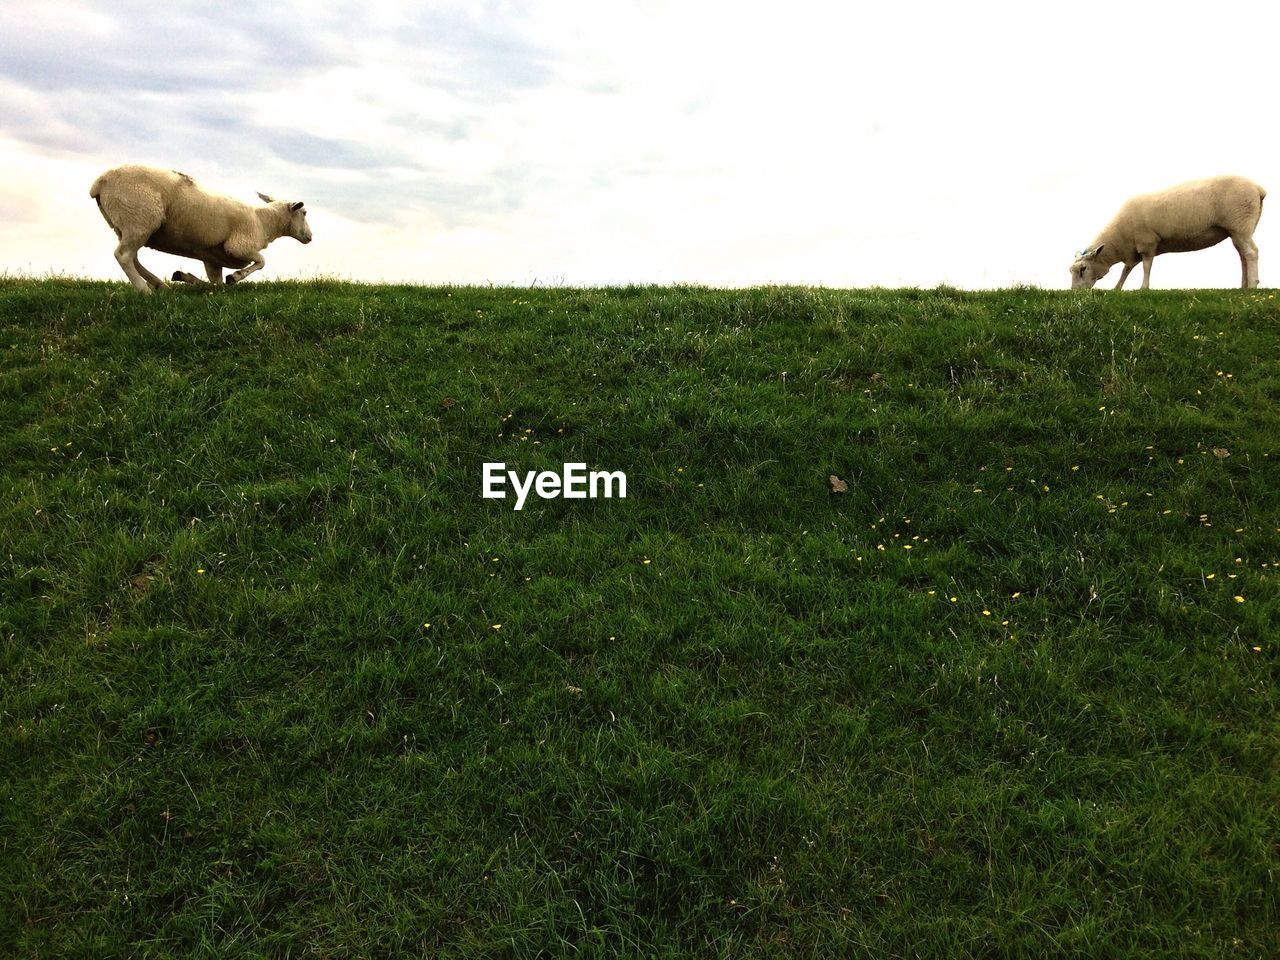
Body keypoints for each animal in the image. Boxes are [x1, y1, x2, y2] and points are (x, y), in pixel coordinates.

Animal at [88, 165, 312, 295]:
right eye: (304, 212)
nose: (310, 237)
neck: (264, 221)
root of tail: (99, 184)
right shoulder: (239, 246)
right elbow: (262, 262)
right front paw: (236, 276)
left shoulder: (212, 259)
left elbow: (215, 284)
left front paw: (185, 277)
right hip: (140, 218)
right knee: (124, 255)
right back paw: (145, 291)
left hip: (126, 224)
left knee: (133, 257)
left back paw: (160, 285)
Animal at [1064, 175, 1264, 289]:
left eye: (1082, 269)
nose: (1074, 293)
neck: (1119, 239)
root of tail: (1258, 189)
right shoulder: (1134, 250)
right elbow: (1126, 270)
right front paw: (1117, 288)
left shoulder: (1147, 242)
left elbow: (1146, 266)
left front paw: (1144, 288)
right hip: (1237, 230)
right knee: (1243, 256)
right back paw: (1244, 286)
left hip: (1240, 223)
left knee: (1251, 253)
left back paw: (1253, 285)